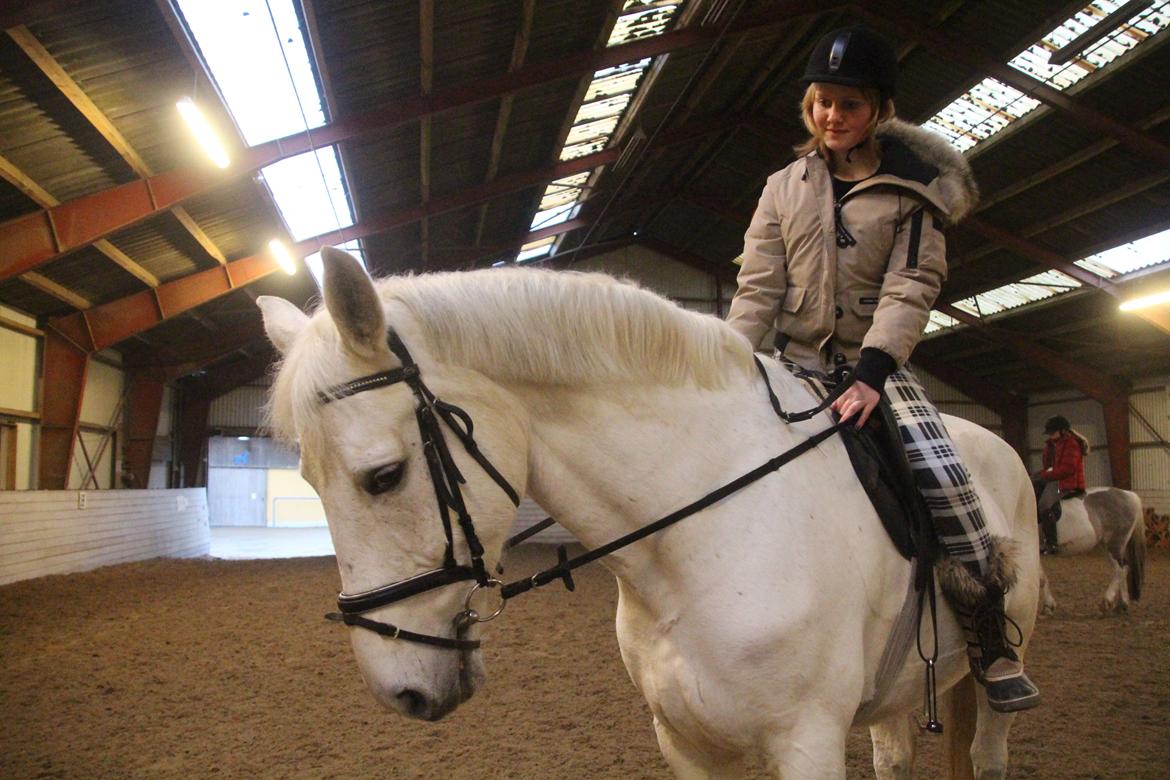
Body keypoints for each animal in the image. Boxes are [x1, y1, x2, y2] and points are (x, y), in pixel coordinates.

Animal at [257, 246, 1040, 779]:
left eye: (384, 477)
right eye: (307, 478)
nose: (403, 692)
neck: (698, 546)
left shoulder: (807, 741)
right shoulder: (685, 741)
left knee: (990, 747)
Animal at [1038, 486, 1146, 615]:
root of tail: (1129, 495)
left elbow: (1041, 578)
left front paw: (1048, 605)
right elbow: (1041, 577)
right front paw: (1048, 605)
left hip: (1114, 545)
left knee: (1122, 568)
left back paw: (1107, 601)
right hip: (1108, 546)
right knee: (1122, 568)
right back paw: (1122, 606)